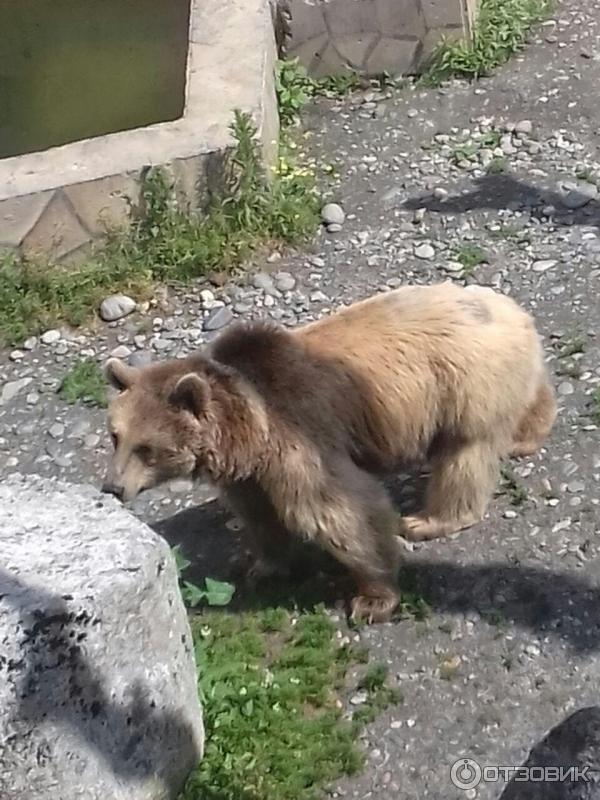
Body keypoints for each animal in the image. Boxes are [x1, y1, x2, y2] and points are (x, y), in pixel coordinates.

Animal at [101, 282, 556, 624]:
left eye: (147, 448)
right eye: (115, 436)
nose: (112, 488)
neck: (246, 425)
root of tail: (512, 309)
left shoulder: (299, 436)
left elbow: (337, 511)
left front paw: (372, 598)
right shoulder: (250, 472)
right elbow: (259, 515)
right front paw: (261, 565)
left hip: (463, 383)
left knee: (465, 455)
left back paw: (427, 519)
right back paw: (526, 434)